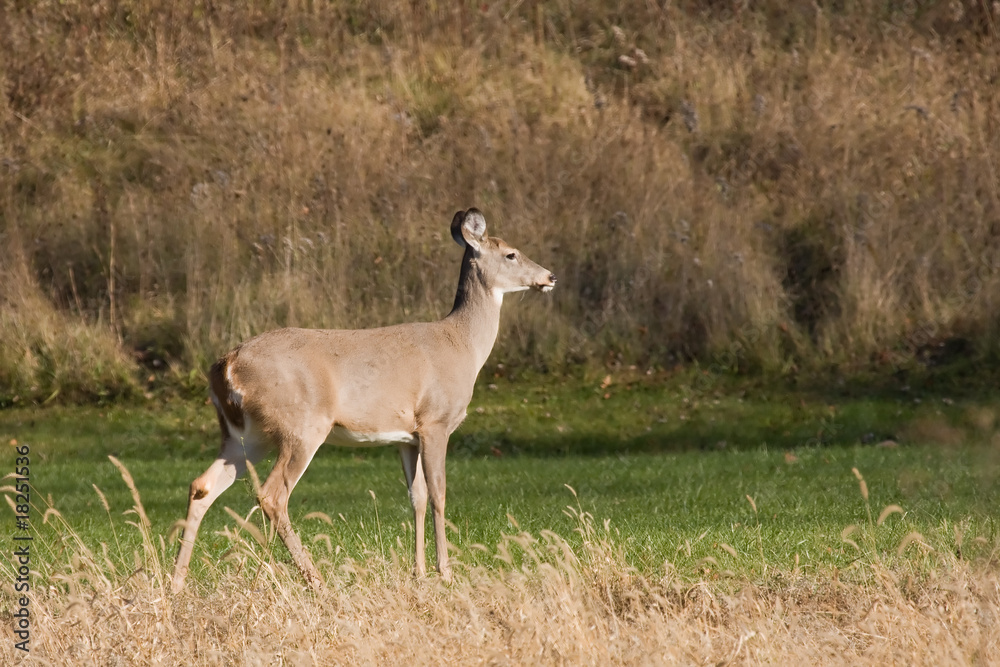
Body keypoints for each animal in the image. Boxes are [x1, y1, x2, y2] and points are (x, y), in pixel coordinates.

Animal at [170, 210, 556, 596]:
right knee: (272, 495)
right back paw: (316, 580)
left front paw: (418, 573)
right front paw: (445, 573)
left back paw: (177, 582)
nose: (550, 276)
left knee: (202, 486)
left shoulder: (407, 436)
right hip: (302, 426)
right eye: (511, 254)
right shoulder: (436, 421)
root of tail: (226, 365)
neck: (463, 345)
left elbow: (416, 497)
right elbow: (439, 494)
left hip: (245, 435)